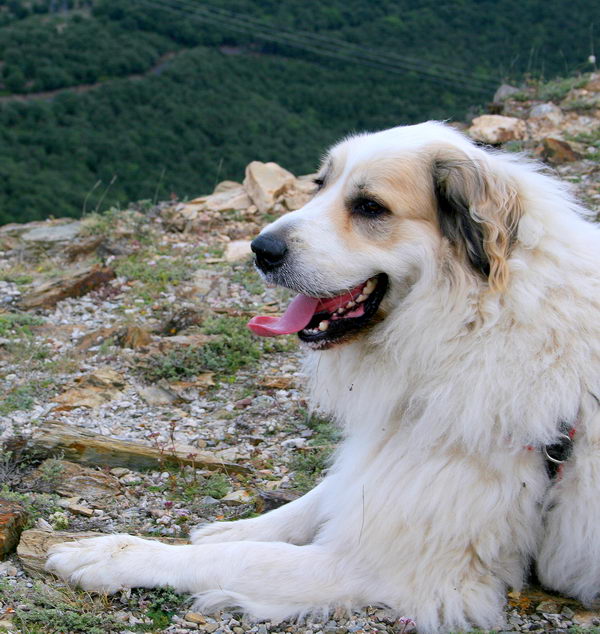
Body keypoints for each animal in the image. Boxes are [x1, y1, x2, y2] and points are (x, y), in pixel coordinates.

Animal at [45, 121, 600, 628]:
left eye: (370, 207)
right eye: (319, 184)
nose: (260, 249)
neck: (474, 320)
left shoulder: (385, 566)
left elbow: (237, 559)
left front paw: (115, 555)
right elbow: (322, 494)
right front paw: (237, 526)